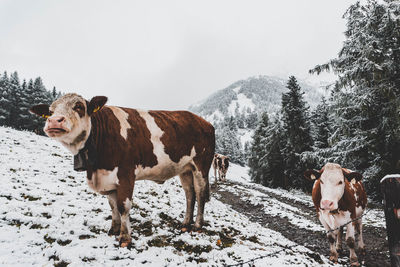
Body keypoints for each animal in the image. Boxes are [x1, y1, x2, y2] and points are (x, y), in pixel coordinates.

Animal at [30, 94, 216, 249]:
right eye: (50, 111)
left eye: (79, 106)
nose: (54, 121)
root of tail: (203, 121)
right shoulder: (108, 178)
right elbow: (112, 206)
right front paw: (114, 229)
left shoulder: (126, 174)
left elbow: (123, 206)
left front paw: (125, 238)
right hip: (185, 169)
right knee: (190, 194)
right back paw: (185, 224)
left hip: (201, 166)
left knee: (200, 193)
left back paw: (197, 226)